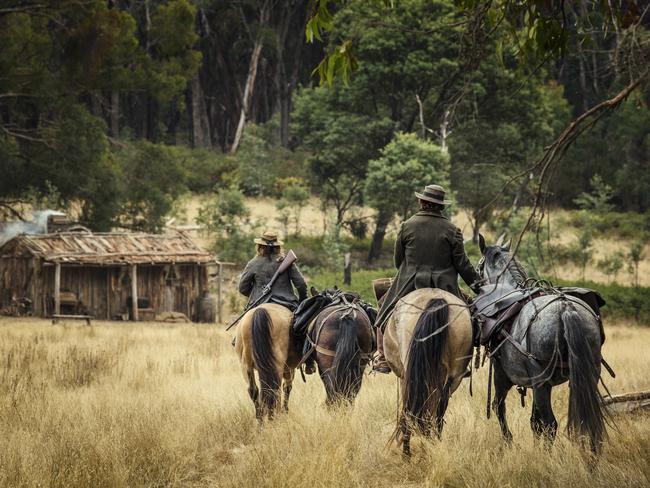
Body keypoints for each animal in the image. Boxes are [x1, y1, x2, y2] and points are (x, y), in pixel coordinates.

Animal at [470, 236, 608, 454]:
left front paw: (509, 442)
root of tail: (565, 308)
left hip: (542, 382)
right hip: (587, 375)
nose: (475, 285)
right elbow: (535, 422)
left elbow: (499, 407)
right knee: (588, 419)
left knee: (551, 424)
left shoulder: (503, 376)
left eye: (479, 266)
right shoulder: (537, 385)